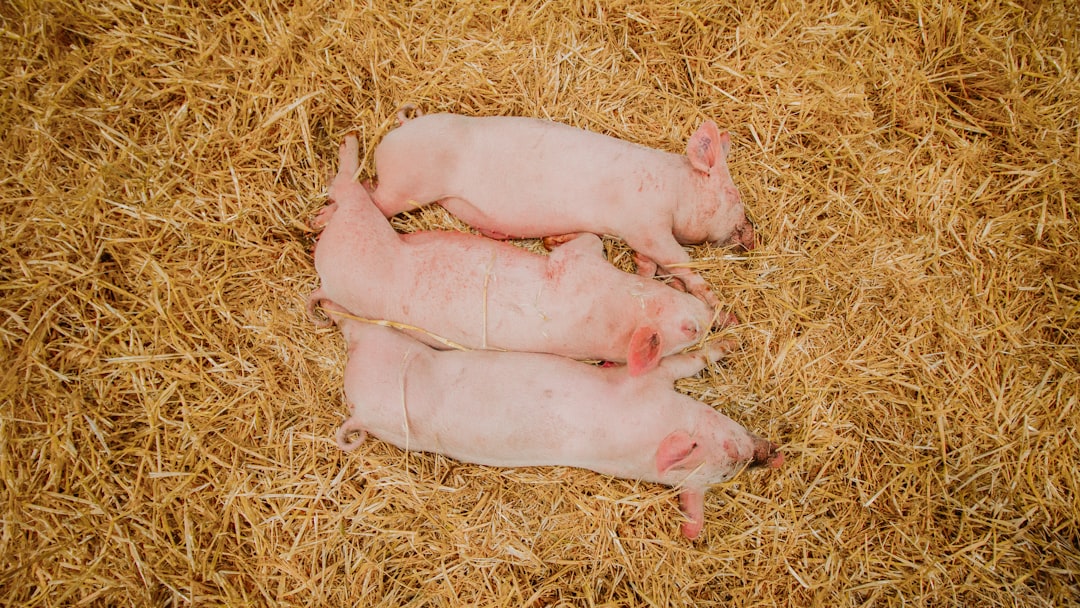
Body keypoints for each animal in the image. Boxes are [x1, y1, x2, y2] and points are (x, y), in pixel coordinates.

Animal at [309, 134, 723, 376]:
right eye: (689, 329)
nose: (712, 318)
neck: (612, 310)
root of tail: (325, 278)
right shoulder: (581, 265)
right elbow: (588, 240)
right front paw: (553, 239)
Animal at [316, 299, 783, 539]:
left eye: (724, 476)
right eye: (728, 448)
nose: (768, 452)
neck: (643, 437)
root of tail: (356, 410)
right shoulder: (643, 383)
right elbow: (687, 362)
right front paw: (730, 345)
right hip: (388, 346)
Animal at [368, 108, 754, 306]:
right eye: (733, 196)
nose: (751, 234)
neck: (673, 188)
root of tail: (401, 127)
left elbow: (655, 267)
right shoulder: (645, 226)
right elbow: (679, 260)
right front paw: (721, 310)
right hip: (405, 185)